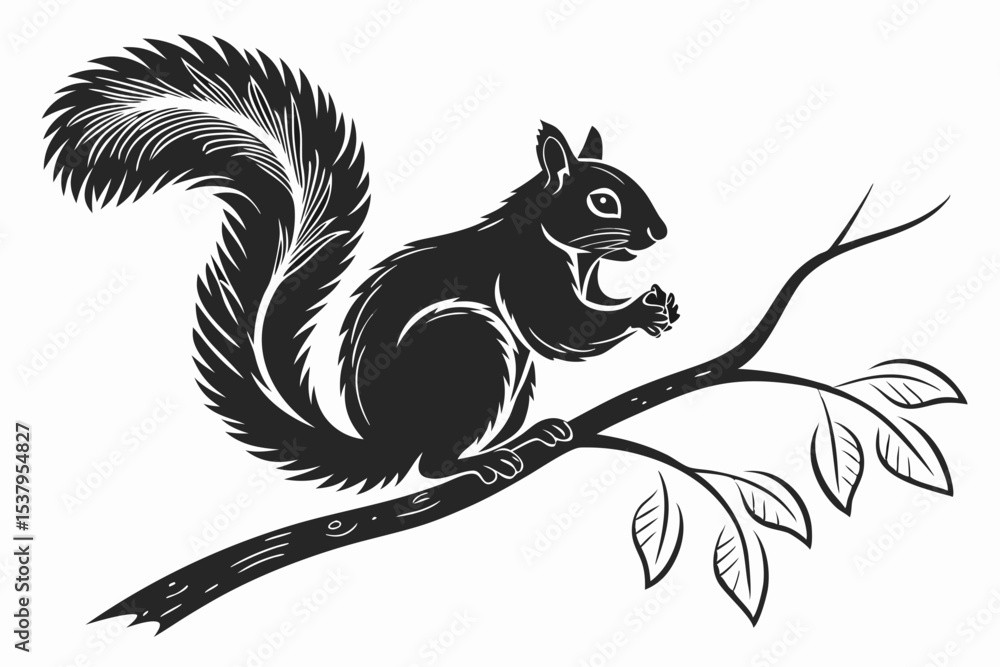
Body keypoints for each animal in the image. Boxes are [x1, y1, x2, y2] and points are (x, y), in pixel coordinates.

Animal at [44, 37, 679, 492]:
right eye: (603, 201)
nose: (660, 232)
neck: (567, 249)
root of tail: (390, 441)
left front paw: (657, 305)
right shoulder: (526, 274)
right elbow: (563, 329)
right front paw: (643, 309)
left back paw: (534, 436)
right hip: (472, 348)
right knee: (432, 464)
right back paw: (484, 461)